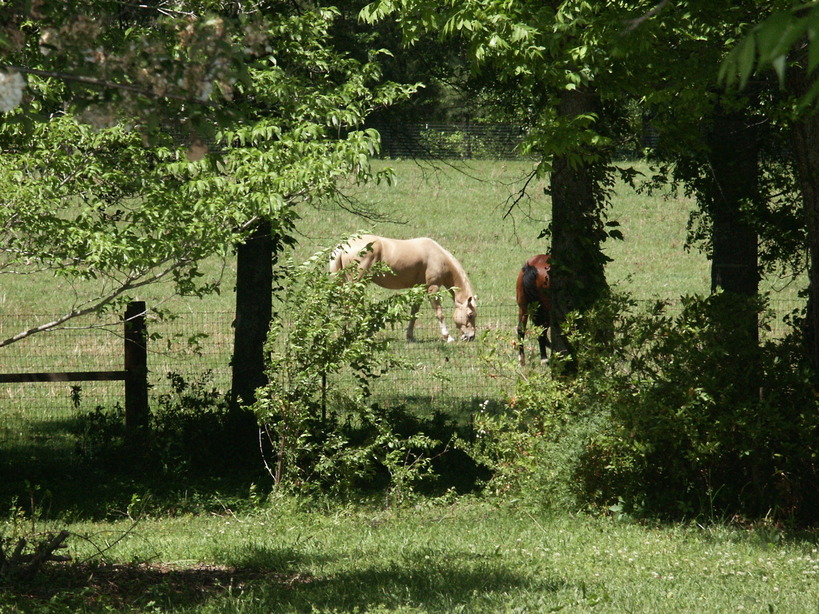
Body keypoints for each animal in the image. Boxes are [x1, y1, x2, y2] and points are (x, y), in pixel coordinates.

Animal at [330, 235, 478, 344]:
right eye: (470, 315)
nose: (471, 337)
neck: (438, 256)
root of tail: (343, 247)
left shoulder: (419, 289)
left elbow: (414, 313)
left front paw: (410, 336)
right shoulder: (433, 288)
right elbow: (439, 313)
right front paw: (448, 337)